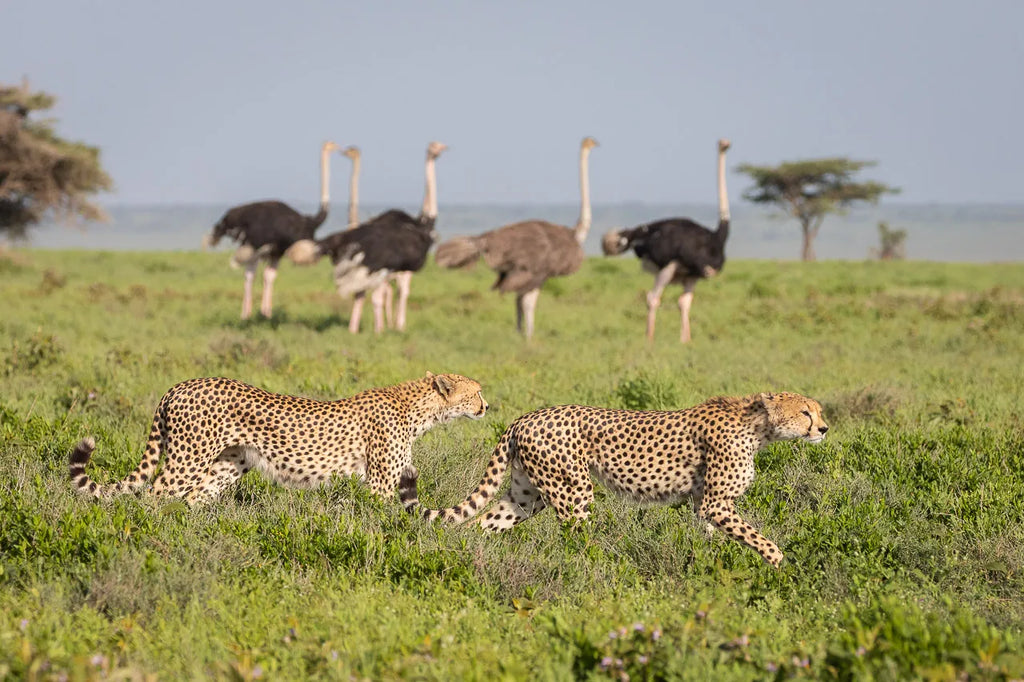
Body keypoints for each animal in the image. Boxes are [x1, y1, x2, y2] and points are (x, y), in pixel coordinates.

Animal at [69, 372, 488, 505]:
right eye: (477, 392)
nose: (488, 406)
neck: (418, 409)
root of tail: (180, 385)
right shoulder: (381, 482)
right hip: (188, 458)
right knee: (156, 494)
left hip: (228, 464)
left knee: (192, 498)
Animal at [400, 391, 828, 567]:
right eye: (805, 412)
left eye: (818, 411)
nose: (823, 428)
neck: (759, 427)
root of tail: (524, 417)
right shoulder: (716, 502)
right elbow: (758, 537)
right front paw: (779, 564)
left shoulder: (703, 504)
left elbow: (708, 538)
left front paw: (706, 566)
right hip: (574, 489)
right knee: (576, 537)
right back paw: (598, 571)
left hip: (527, 495)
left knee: (484, 523)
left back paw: (476, 556)